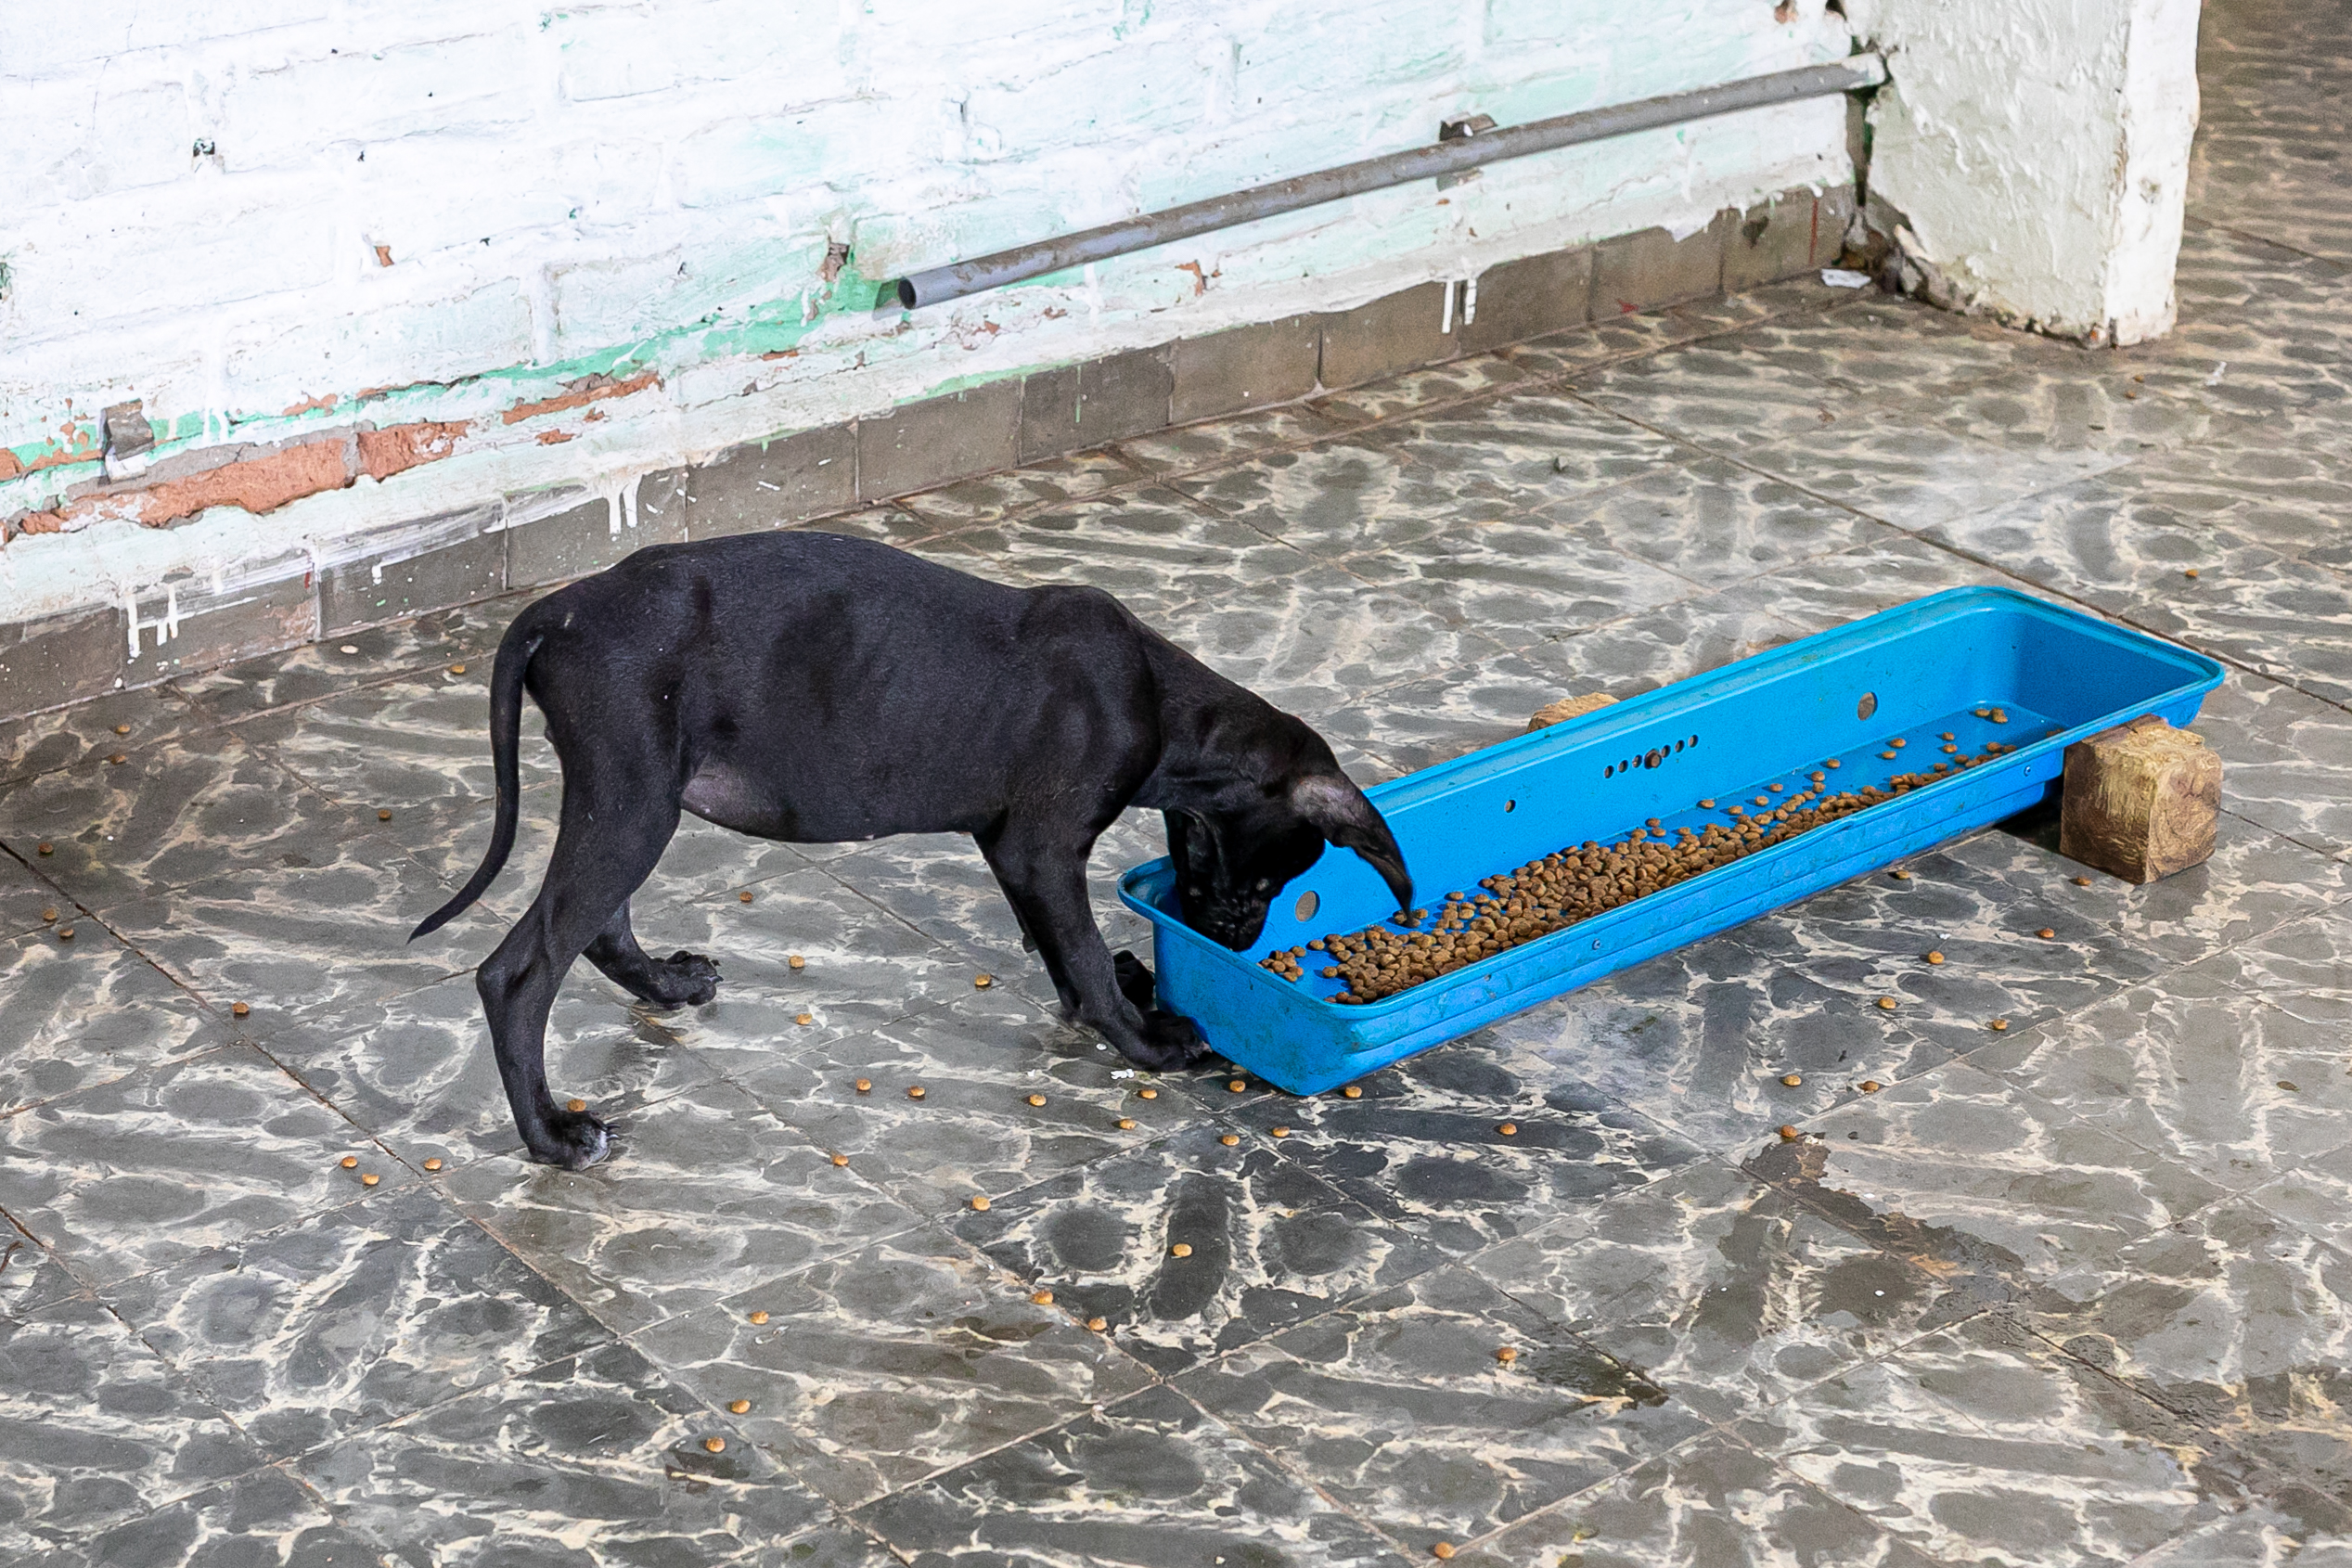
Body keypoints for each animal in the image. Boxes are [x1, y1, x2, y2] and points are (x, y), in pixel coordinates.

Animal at [412, 531, 1412, 1169]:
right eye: (1277, 873)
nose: (1237, 946)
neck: (1165, 705)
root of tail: (557, 613)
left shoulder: (1013, 853)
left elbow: (1062, 951)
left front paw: (1120, 994)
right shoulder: (1039, 847)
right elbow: (1082, 952)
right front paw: (1146, 1038)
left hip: (625, 801)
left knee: (598, 926)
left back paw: (662, 984)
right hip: (631, 802)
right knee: (517, 974)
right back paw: (552, 1136)